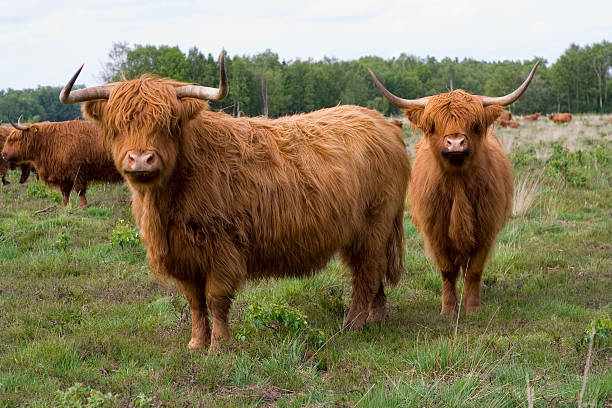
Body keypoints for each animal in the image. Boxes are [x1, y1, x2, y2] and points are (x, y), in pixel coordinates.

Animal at [59, 55, 412, 354]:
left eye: (170, 123)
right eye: (117, 126)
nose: (141, 159)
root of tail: (383, 122)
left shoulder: (222, 247)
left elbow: (215, 298)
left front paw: (220, 346)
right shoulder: (184, 254)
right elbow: (194, 301)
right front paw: (196, 343)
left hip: (374, 224)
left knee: (366, 273)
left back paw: (353, 324)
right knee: (371, 272)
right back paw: (377, 318)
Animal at [370, 62, 536, 314]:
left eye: (475, 124)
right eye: (433, 125)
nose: (455, 142)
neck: (457, 186)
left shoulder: (485, 229)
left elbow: (474, 271)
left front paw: (472, 307)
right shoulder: (435, 231)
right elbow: (447, 271)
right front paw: (448, 309)